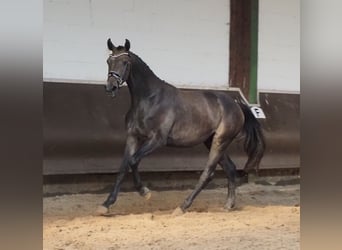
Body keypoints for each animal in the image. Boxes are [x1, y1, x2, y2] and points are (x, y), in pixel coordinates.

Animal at [95, 38, 266, 215]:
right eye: (109, 61)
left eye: (125, 62)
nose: (111, 87)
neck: (150, 99)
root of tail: (237, 105)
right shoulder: (133, 137)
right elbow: (123, 167)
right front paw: (106, 204)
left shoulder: (157, 140)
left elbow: (133, 161)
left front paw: (145, 192)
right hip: (211, 141)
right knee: (230, 169)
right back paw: (228, 205)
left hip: (221, 141)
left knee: (208, 173)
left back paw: (182, 207)